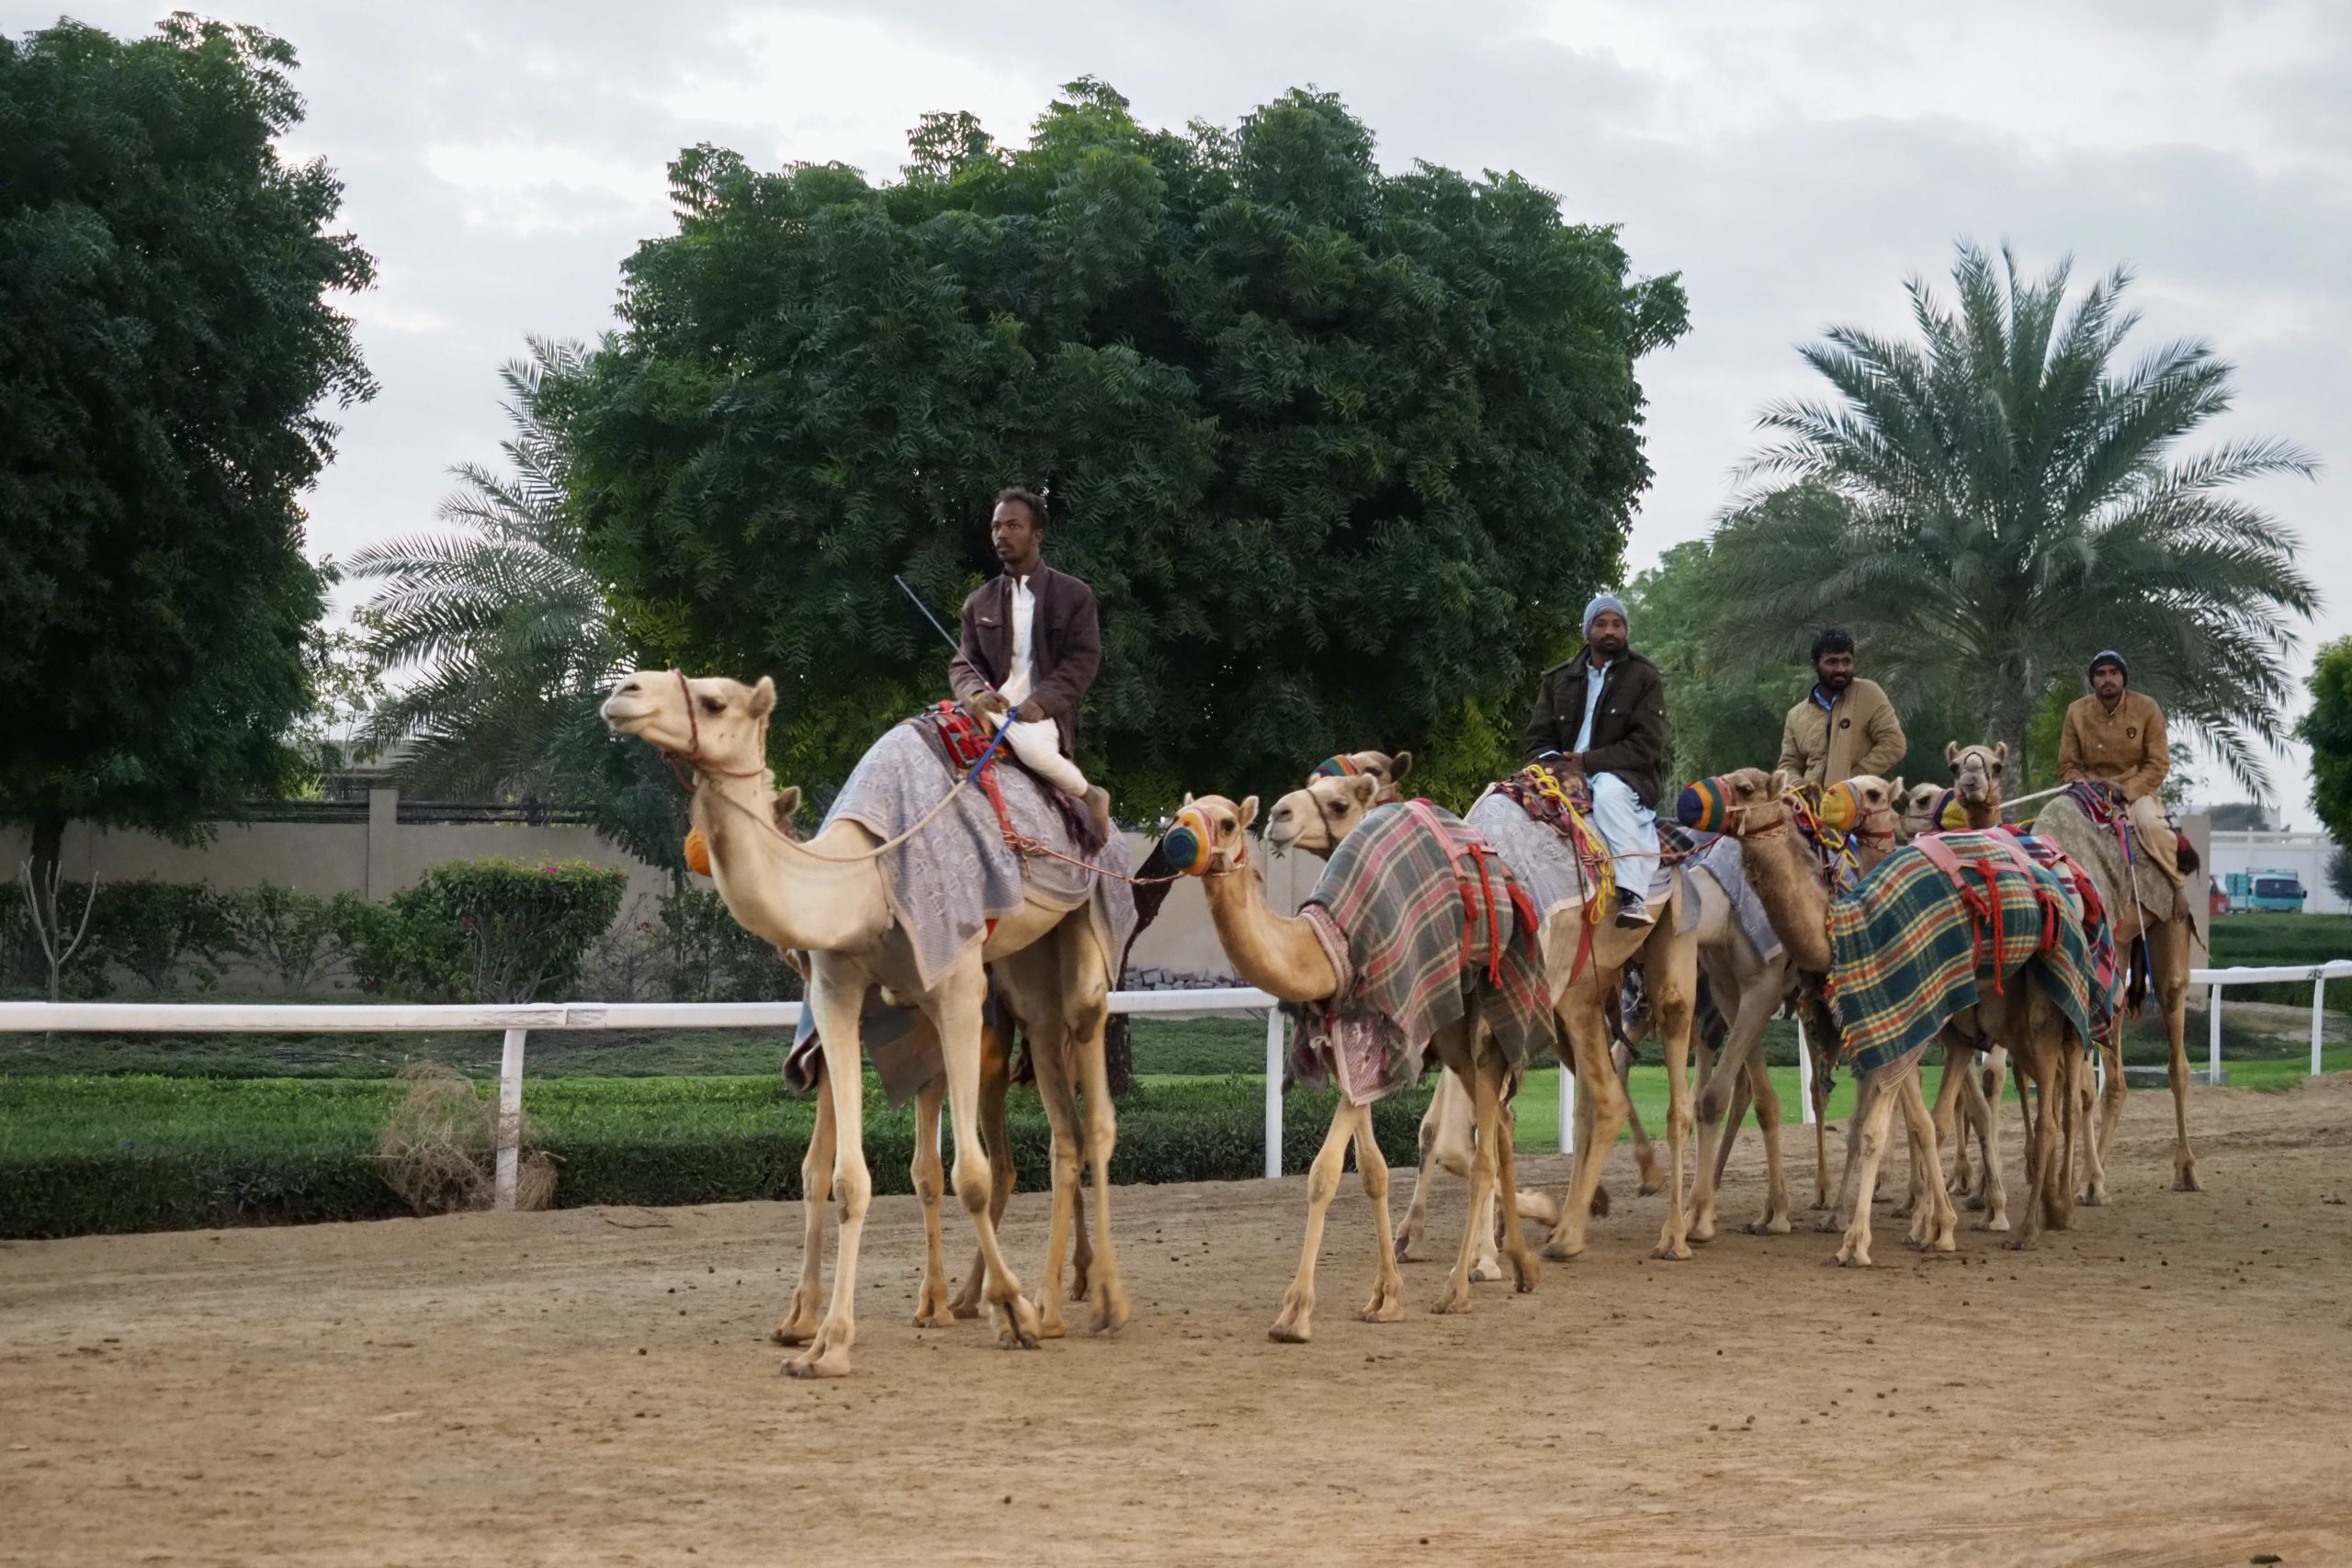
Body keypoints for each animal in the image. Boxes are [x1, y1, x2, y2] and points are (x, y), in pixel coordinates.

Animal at [602, 677, 1124, 1372]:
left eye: (715, 701)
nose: (621, 692)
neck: (862, 878)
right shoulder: (836, 998)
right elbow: (841, 1177)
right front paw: (824, 1339)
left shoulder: (957, 988)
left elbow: (968, 1175)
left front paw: (1009, 1312)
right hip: (1025, 975)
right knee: (1061, 1126)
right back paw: (1043, 1300)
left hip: (1081, 926)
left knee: (1091, 1101)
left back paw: (1092, 1301)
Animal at [1170, 789, 1533, 1344]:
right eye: (1178, 813)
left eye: (1228, 822)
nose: (1177, 836)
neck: (1327, 949)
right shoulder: (1344, 1047)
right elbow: (1372, 1170)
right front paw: (1386, 1297)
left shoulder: (1375, 1038)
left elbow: (1324, 1172)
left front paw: (1295, 1314)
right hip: (1448, 1032)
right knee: (1504, 1125)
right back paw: (1520, 1265)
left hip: (1482, 1011)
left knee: (1487, 1148)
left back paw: (1458, 1288)